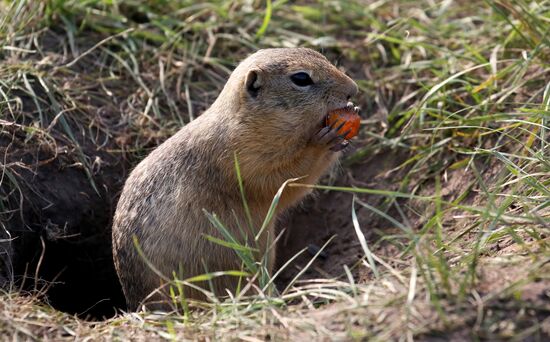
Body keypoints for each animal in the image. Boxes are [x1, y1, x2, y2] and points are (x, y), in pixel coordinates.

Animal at [113, 46, 362, 312]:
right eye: (301, 78)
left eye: (320, 55)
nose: (353, 89)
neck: (246, 123)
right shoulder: (243, 161)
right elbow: (287, 178)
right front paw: (324, 140)